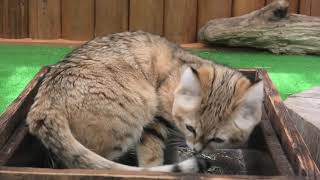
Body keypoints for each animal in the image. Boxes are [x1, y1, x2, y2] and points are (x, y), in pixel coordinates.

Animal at [26, 31, 262, 173]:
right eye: (191, 128)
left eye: (218, 140)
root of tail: (45, 106)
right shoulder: (156, 118)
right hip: (138, 109)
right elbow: (152, 153)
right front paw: (155, 167)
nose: (196, 150)